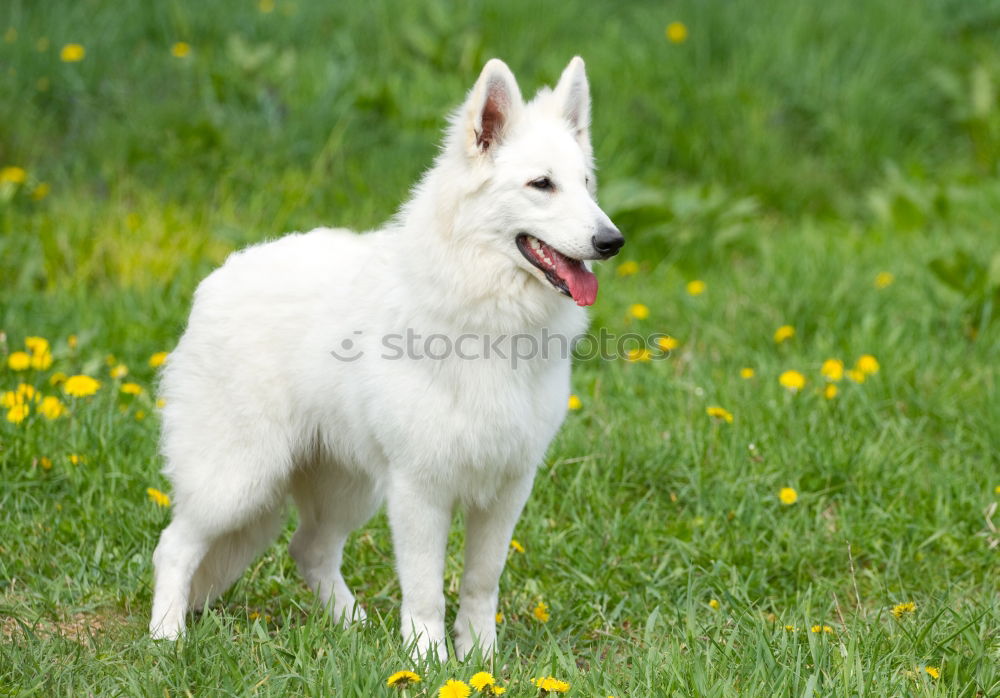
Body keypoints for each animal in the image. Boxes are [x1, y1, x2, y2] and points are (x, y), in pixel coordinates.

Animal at [148, 55, 620, 656]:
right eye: (542, 184)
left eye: (585, 184)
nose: (612, 241)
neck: (485, 316)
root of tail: (213, 282)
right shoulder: (420, 491)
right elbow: (425, 590)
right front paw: (428, 658)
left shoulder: (506, 489)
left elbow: (480, 582)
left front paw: (480, 656)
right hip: (238, 482)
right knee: (174, 545)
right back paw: (166, 635)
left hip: (347, 487)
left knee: (310, 549)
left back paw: (353, 627)